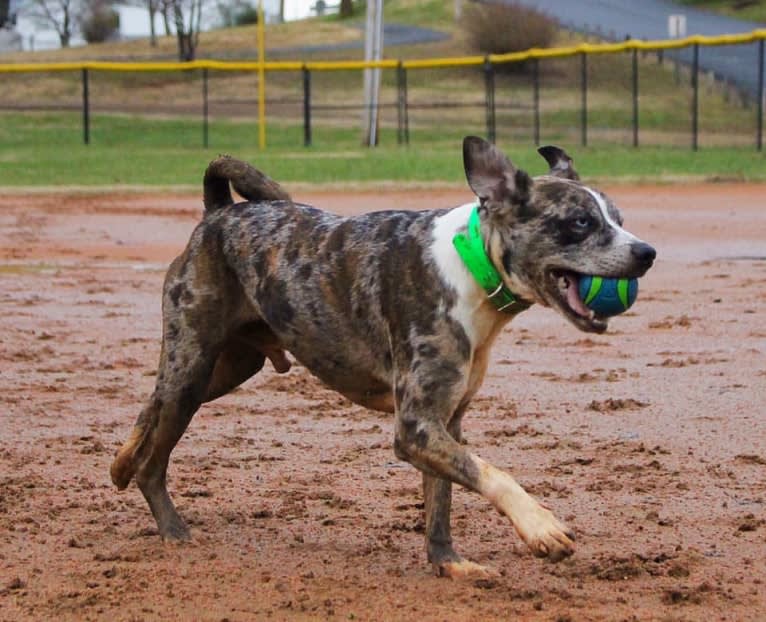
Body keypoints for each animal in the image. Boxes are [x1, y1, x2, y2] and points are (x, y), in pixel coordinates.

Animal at [111, 138, 656, 580]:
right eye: (580, 223)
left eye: (621, 221)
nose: (647, 252)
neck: (470, 263)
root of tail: (219, 213)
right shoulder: (415, 427)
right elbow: (491, 472)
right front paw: (539, 526)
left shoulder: (445, 422)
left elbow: (442, 501)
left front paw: (449, 563)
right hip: (192, 365)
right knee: (155, 457)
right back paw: (171, 526)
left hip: (226, 367)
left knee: (149, 406)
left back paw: (120, 463)